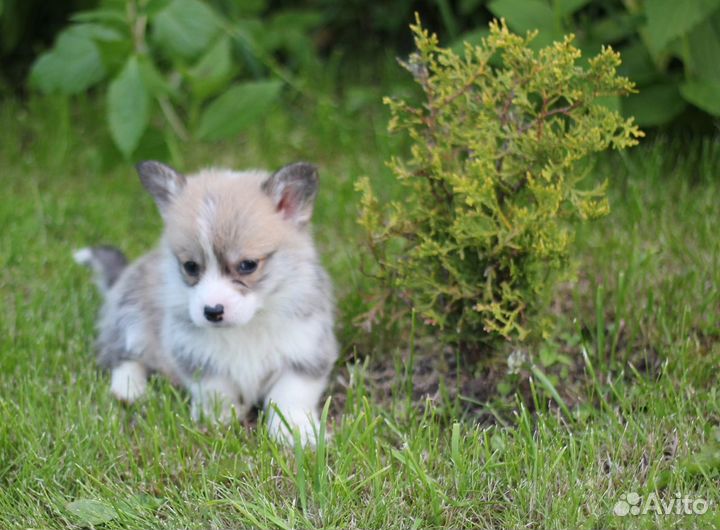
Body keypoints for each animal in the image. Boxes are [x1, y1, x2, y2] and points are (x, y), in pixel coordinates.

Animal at [74, 160, 338, 442]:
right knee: (122, 355)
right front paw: (217, 419)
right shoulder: (196, 353)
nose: (212, 311)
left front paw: (295, 432)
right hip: (131, 313)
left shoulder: (305, 350)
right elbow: (216, 390)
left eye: (248, 265)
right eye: (190, 266)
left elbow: (290, 396)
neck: (248, 326)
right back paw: (129, 388)